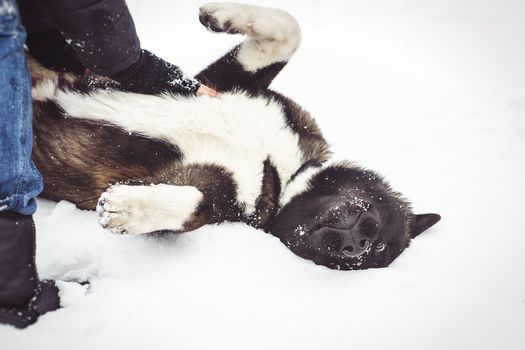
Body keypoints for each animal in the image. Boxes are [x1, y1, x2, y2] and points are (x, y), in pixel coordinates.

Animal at [28, 2, 438, 270]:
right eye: (370, 209)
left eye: (376, 250)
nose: (356, 245)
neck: (282, 171)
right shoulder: (220, 84)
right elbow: (288, 29)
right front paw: (222, 15)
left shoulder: (219, 195)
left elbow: (192, 203)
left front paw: (129, 208)